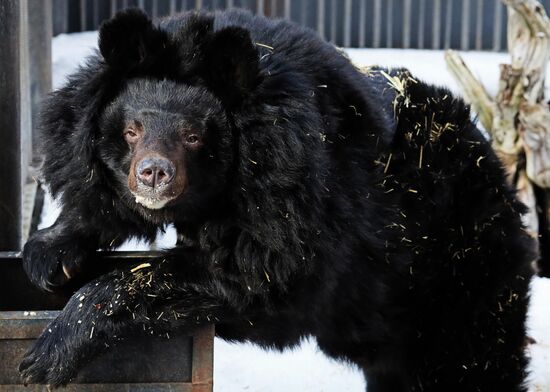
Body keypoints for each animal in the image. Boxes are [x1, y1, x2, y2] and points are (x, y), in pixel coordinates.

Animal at [19, 7, 536, 390]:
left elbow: (253, 278)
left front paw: (45, 355)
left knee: (468, 364)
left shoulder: (296, 204)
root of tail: (498, 174)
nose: (153, 174)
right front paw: (47, 254)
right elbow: (97, 202)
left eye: (192, 136)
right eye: (132, 129)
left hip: (460, 278)